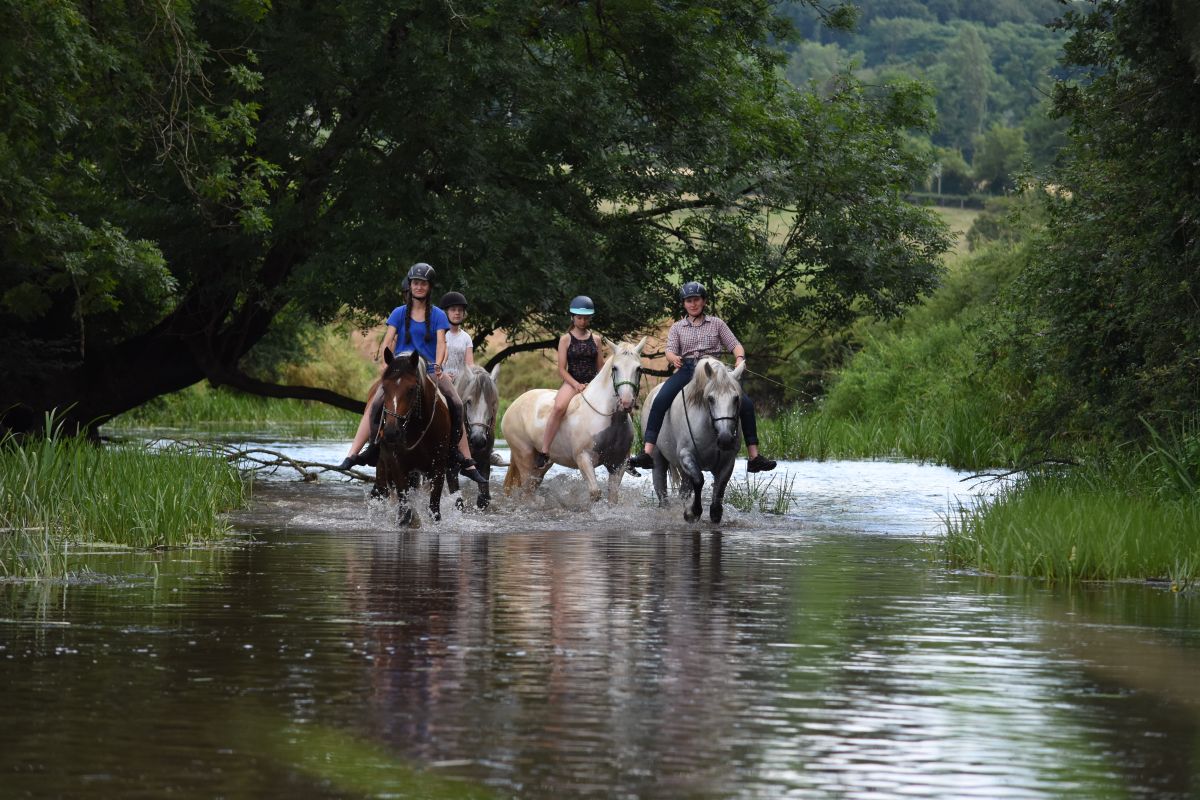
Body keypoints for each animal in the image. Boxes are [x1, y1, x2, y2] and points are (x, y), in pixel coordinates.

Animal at [372, 347, 451, 525]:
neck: (417, 427)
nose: (391, 432)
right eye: (384, 388)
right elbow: (404, 509)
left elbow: (434, 509)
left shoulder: (439, 466)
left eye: (411, 389)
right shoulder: (398, 465)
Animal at [499, 340, 648, 503]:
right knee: (526, 491)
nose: (626, 402)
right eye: (615, 367)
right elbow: (595, 493)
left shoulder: (618, 464)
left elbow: (613, 497)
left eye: (639, 369)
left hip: (541, 465)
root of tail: (513, 405)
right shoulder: (584, 458)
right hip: (524, 456)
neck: (609, 418)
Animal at [643, 357, 744, 525]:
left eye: (736, 399)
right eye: (710, 399)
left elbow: (720, 485)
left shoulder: (728, 461)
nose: (725, 439)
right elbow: (698, 480)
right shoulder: (686, 455)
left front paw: (715, 512)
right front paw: (692, 512)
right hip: (658, 458)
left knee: (684, 490)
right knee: (661, 488)